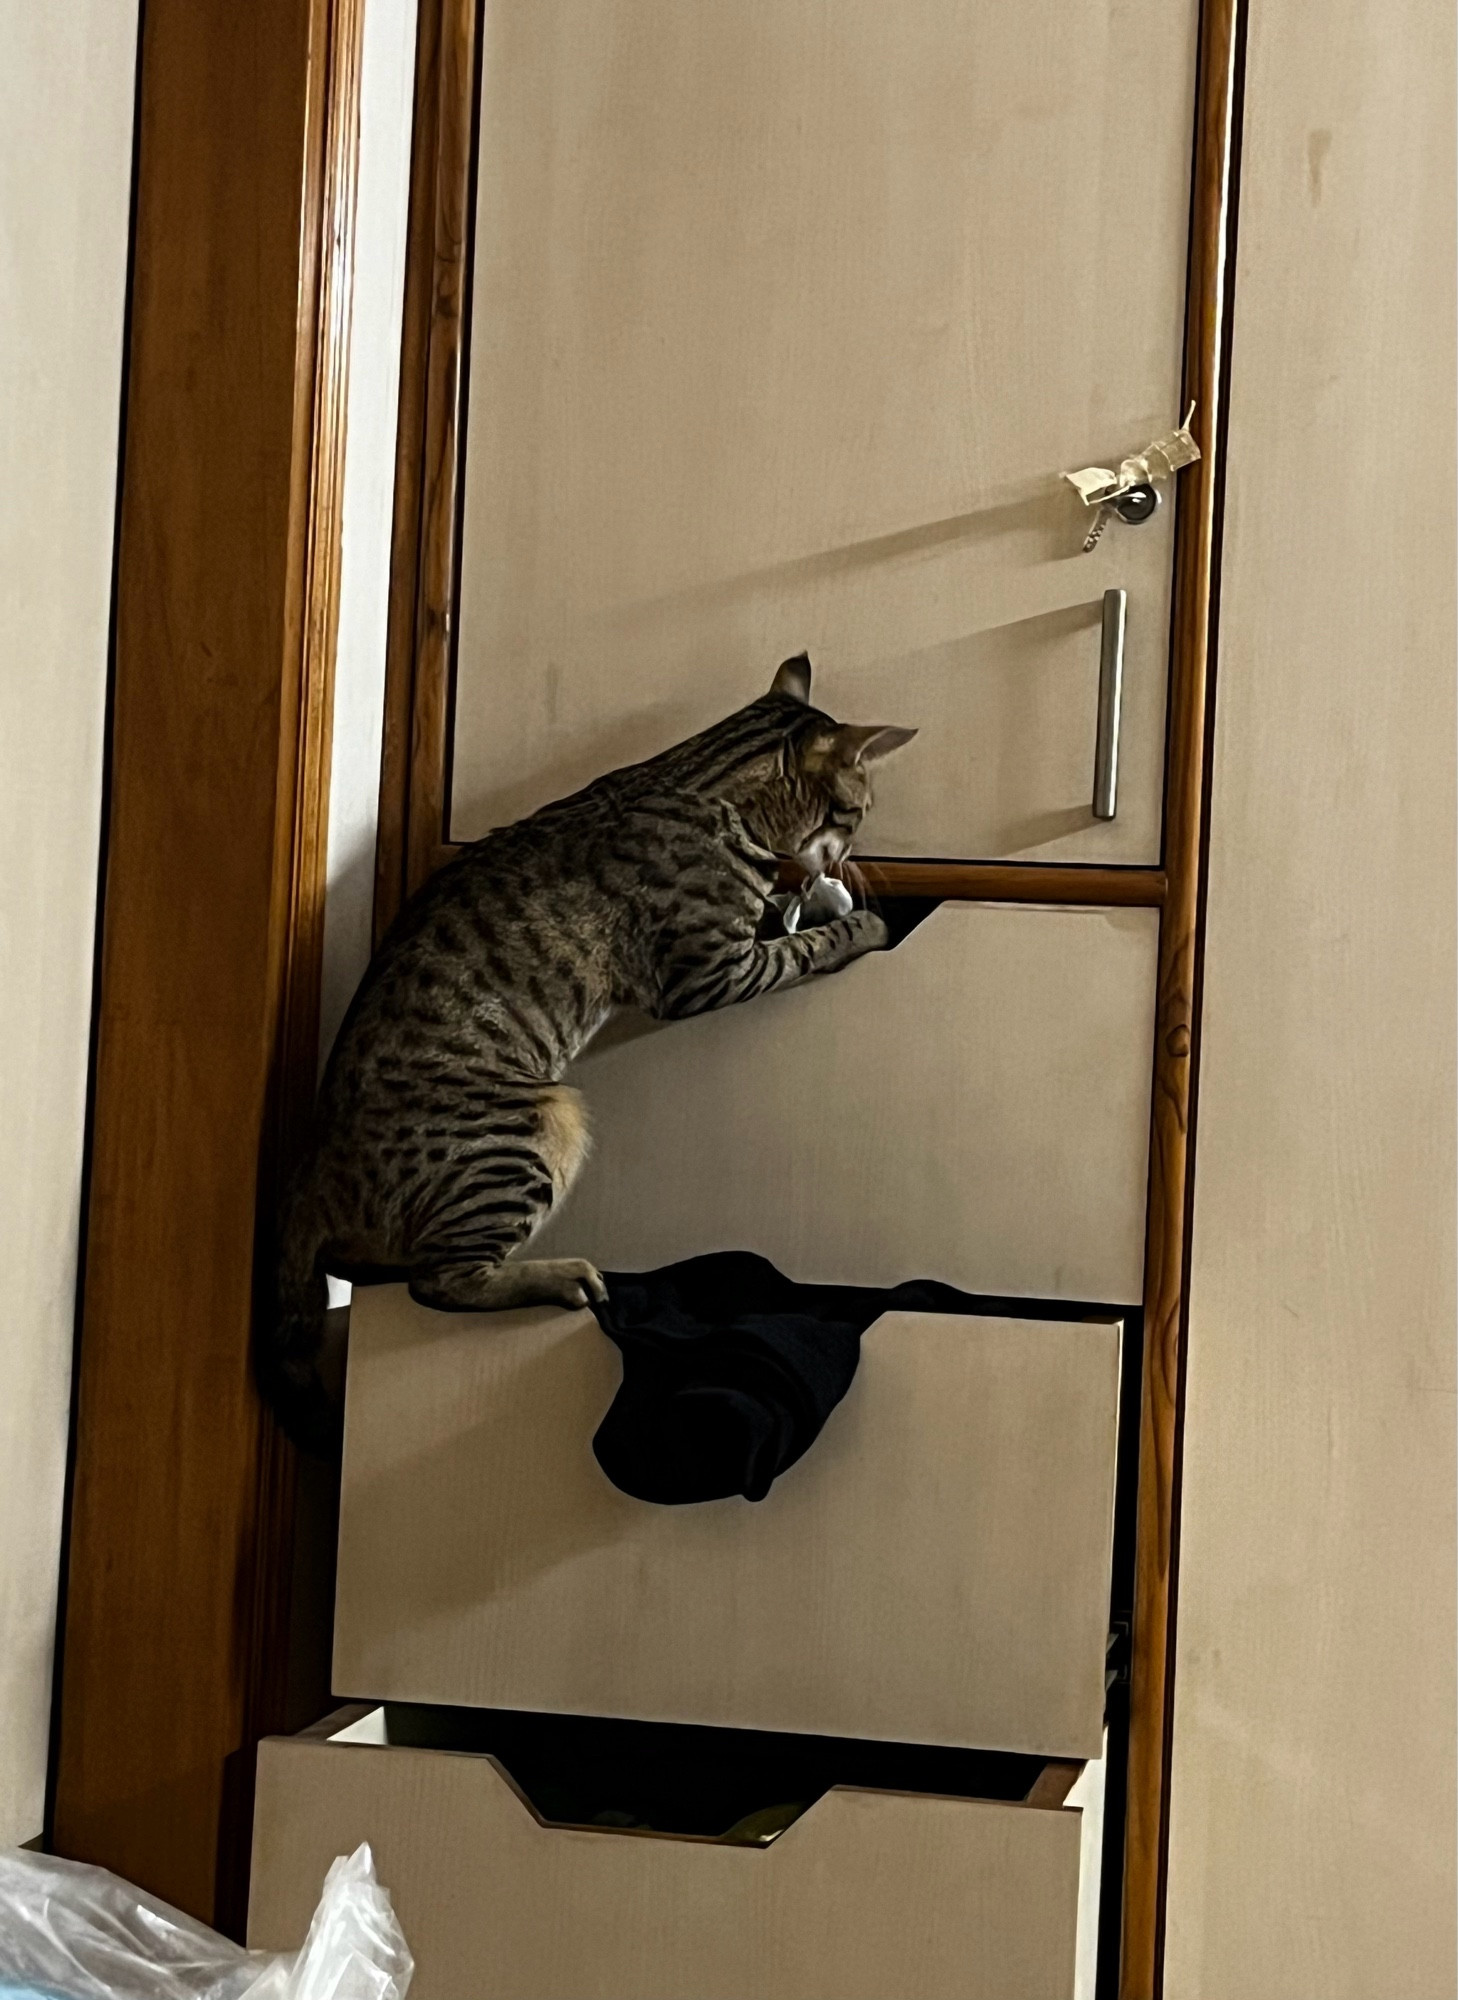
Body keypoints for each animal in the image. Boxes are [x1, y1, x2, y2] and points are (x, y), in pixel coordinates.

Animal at [264, 656, 912, 1456]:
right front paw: (858, 923)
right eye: (857, 812)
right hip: (541, 1120)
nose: (854, 856)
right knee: (440, 1282)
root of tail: (309, 1171)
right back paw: (562, 1276)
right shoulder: (711, 972)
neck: (709, 787)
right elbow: (801, 946)